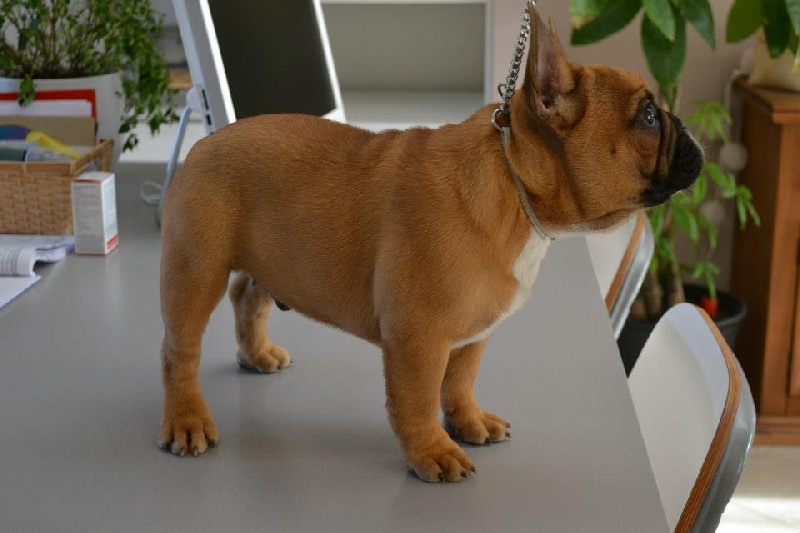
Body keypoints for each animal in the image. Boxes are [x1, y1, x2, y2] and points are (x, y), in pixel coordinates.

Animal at [157, 6, 703, 483]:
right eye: (648, 116)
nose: (685, 127)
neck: (514, 189)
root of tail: (203, 143)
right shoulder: (417, 339)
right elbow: (417, 400)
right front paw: (432, 452)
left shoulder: (473, 333)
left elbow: (460, 381)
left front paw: (468, 423)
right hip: (196, 270)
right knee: (179, 351)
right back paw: (186, 419)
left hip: (269, 262)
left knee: (247, 297)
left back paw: (257, 355)